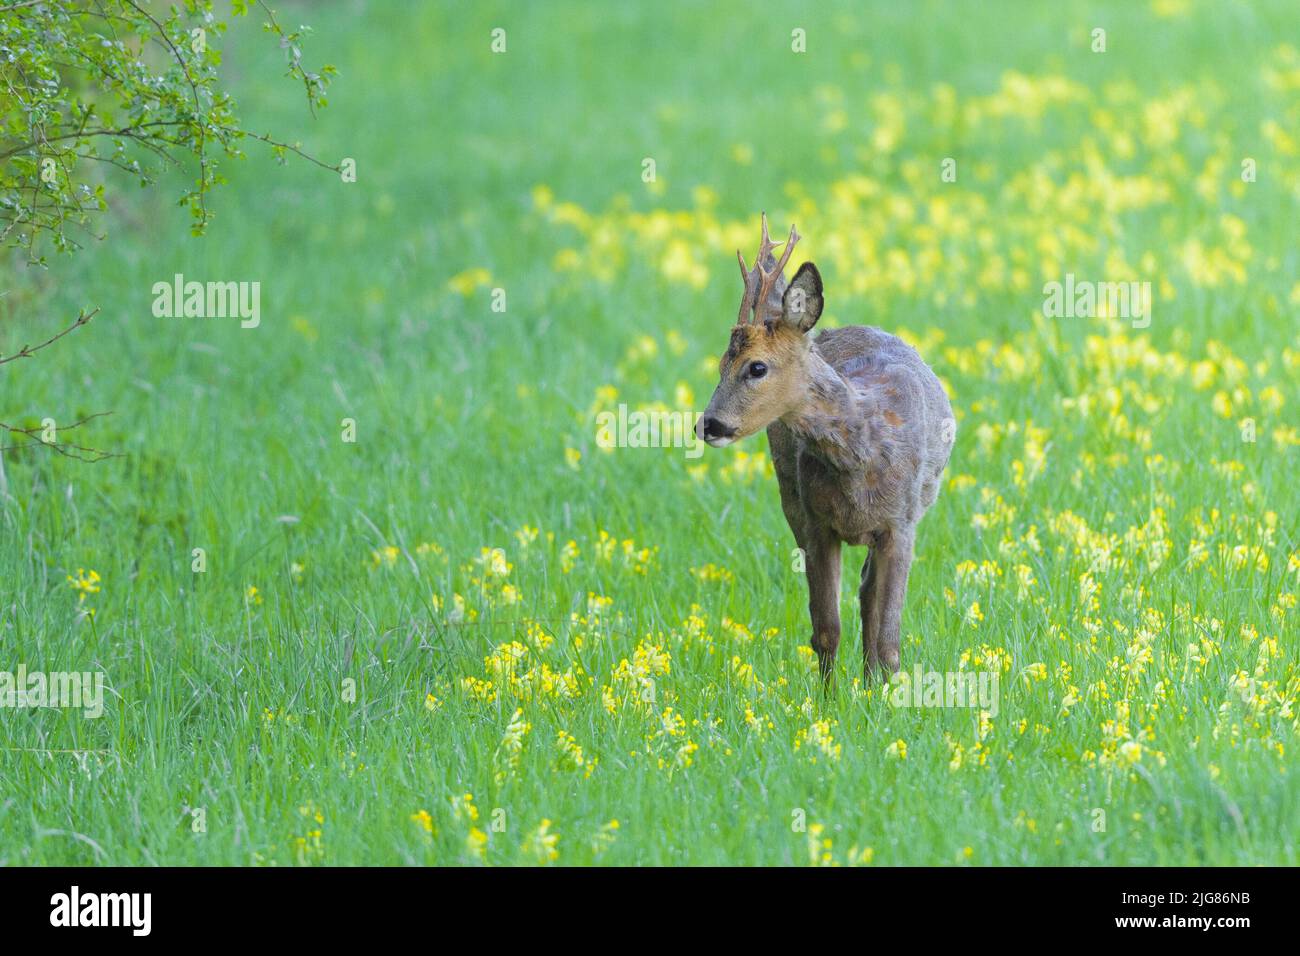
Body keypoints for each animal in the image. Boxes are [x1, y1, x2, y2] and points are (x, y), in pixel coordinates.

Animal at [702, 214, 956, 686]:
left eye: (757, 367)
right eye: (721, 363)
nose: (708, 424)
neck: (863, 455)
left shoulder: (902, 523)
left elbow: (889, 640)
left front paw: (883, 694)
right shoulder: (816, 522)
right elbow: (825, 629)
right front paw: (828, 699)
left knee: (869, 597)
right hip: (789, 495)